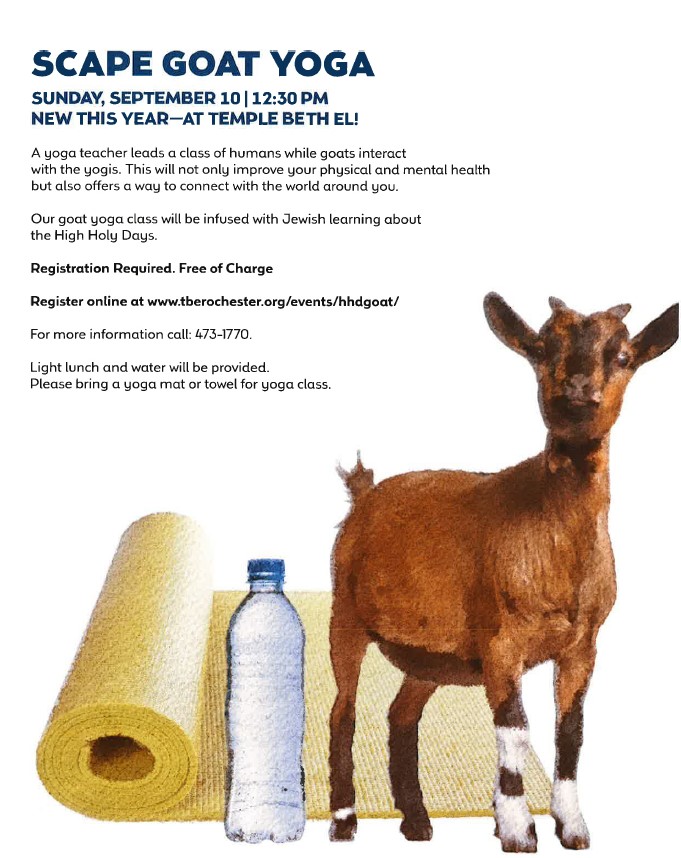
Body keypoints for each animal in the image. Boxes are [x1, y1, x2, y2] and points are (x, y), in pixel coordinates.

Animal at [328, 294, 678, 851]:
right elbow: (515, 729)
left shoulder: (583, 645)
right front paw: (517, 829)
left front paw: (572, 827)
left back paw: (417, 822)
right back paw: (344, 821)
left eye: (623, 355)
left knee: (402, 713)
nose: (577, 392)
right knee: (344, 711)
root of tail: (364, 494)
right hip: (346, 614)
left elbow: (570, 731)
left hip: (430, 657)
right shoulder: (501, 642)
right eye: (541, 348)